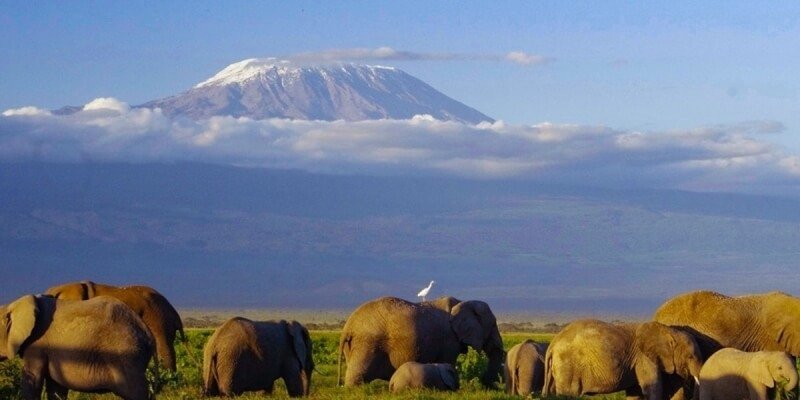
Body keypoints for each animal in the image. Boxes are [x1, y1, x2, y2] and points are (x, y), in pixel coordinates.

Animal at [0, 294, 154, 400]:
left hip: (126, 355)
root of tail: (148, 334)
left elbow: (33, 380)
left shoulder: (37, 344)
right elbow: (56, 386)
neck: (13, 304)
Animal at [337, 296, 504, 388]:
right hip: (367, 343)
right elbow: (448, 362)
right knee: (358, 374)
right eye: (493, 325)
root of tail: (348, 327)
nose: (487, 385)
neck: (463, 302)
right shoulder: (449, 338)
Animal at [542, 319, 703, 400]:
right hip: (567, 366)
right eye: (690, 356)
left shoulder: (635, 361)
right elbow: (652, 388)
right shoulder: (644, 358)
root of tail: (553, 344)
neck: (668, 330)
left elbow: (635, 392)